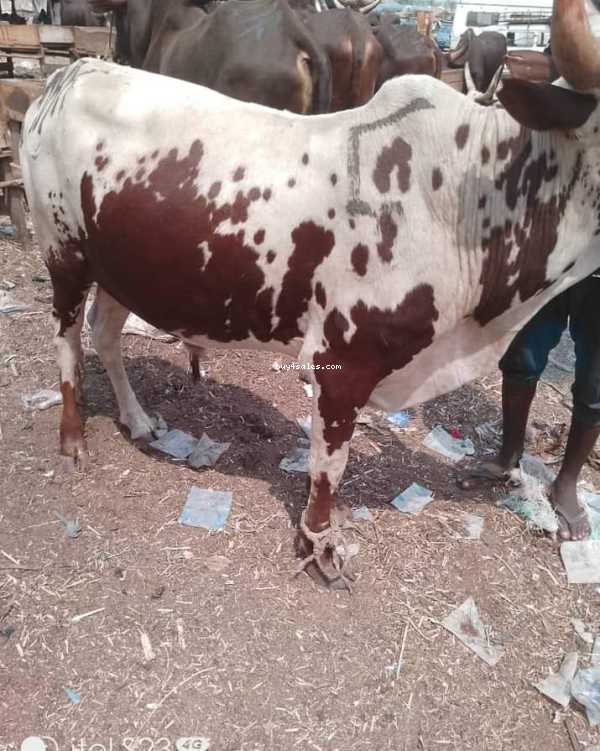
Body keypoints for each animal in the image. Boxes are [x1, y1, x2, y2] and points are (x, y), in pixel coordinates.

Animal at [21, 0, 600, 589]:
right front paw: (320, 544)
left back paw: (138, 421)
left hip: (123, 269)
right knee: (67, 341)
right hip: (64, 253)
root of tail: (71, 75)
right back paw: (73, 438)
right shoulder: (343, 359)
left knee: (105, 336)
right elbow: (331, 464)